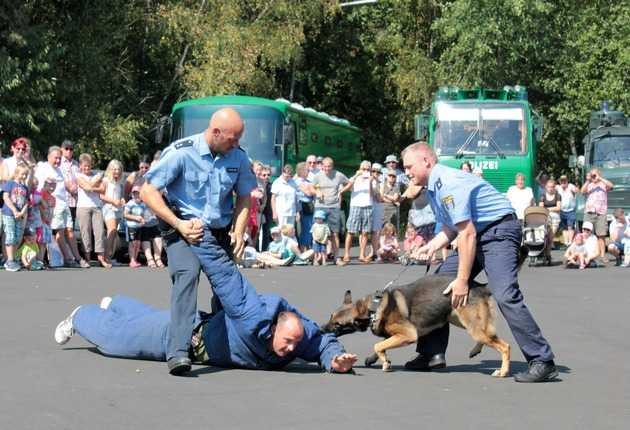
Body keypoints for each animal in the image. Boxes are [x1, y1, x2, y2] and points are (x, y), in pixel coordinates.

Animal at [326, 276, 512, 376]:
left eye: (338, 325)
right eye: (331, 316)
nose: (322, 329)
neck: (374, 307)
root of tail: (481, 286)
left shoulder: (408, 335)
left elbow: (378, 345)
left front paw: (385, 363)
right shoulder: (393, 335)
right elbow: (382, 345)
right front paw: (380, 359)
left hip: (471, 325)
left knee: (505, 346)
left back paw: (503, 372)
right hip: (458, 319)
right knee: (488, 335)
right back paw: (476, 349)